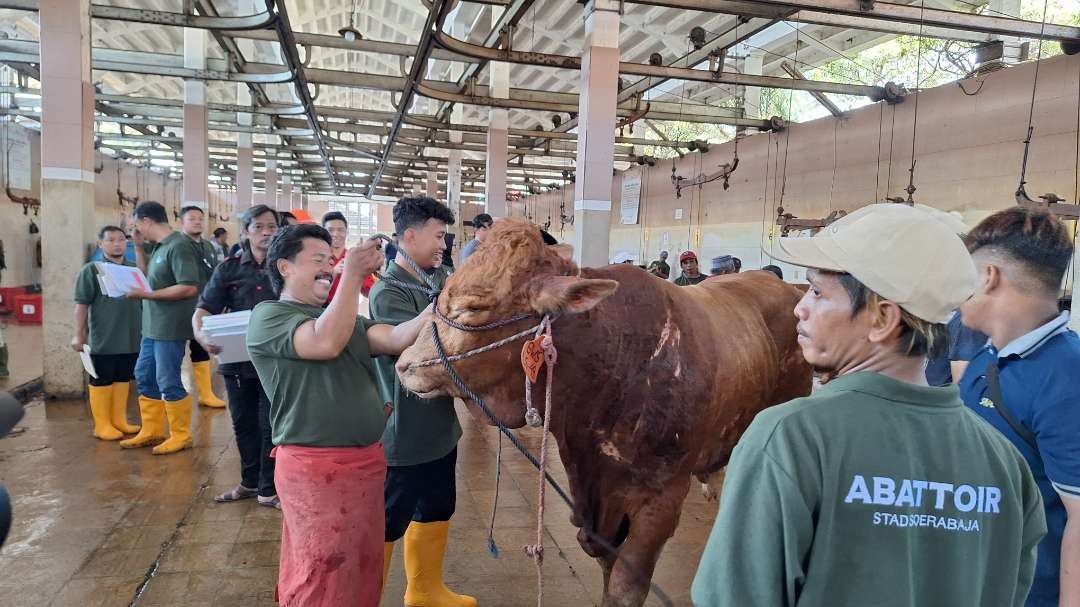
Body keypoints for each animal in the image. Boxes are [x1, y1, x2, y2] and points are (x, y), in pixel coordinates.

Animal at [397, 221, 812, 604]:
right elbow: (607, 566)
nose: (404, 365)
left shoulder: (661, 499)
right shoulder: (596, 505)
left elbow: (626, 585)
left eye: (474, 306)